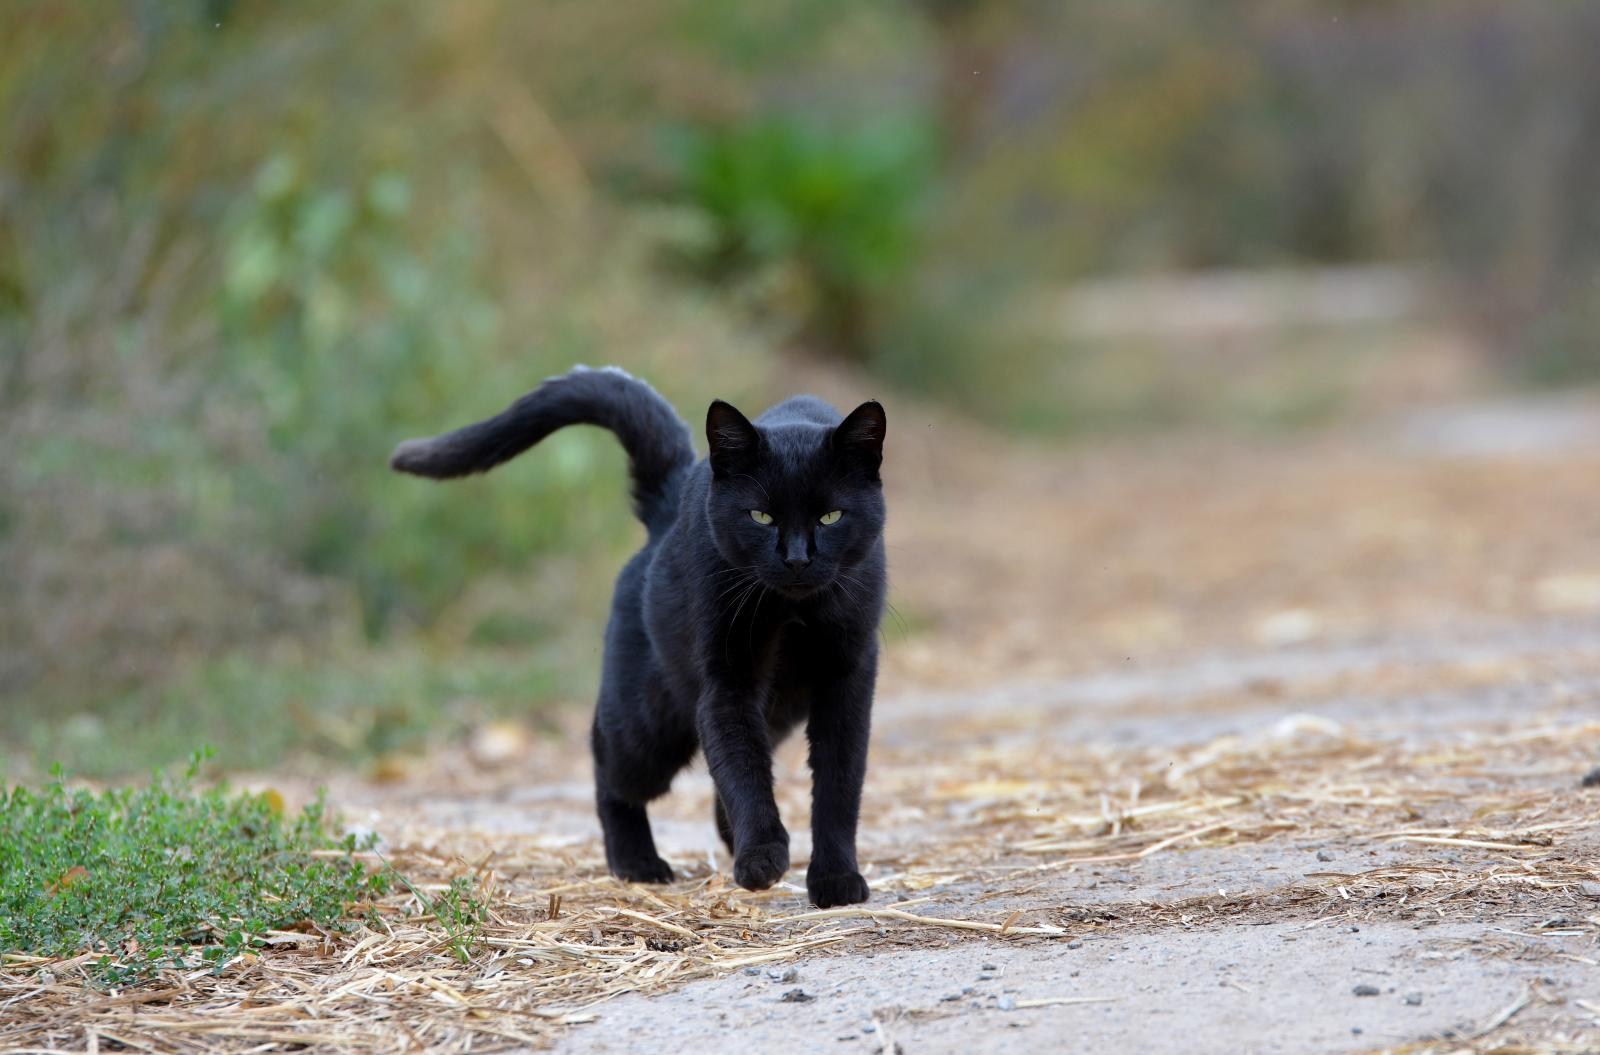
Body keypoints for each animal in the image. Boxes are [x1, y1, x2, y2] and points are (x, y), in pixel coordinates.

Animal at [390, 365, 889, 909]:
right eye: (761, 516)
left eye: (831, 516)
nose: (797, 558)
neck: (794, 611)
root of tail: (669, 503)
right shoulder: (726, 682)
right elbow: (742, 770)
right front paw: (761, 858)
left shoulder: (847, 682)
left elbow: (837, 786)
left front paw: (836, 879)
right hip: (650, 726)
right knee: (609, 768)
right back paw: (637, 864)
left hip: (772, 708)